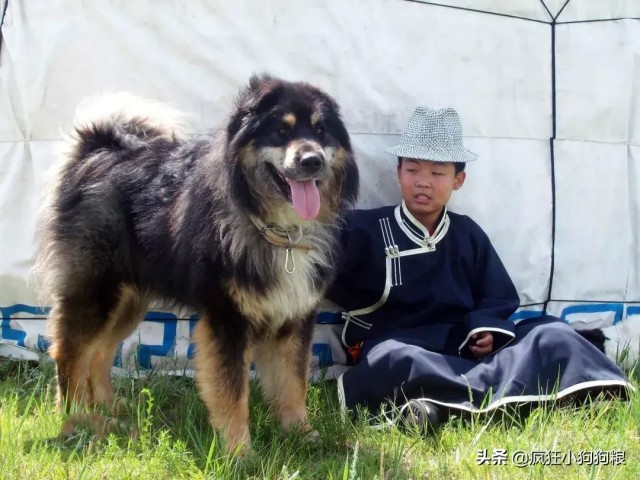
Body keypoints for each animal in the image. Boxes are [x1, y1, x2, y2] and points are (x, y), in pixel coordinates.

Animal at [33, 73, 360, 452]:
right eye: (281, 130)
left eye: (321, 132)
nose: (312, 160)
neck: (277, 229)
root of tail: (93, 149)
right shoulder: (227, 317)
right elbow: (232, 392)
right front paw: (238, 451)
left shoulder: (294, 315)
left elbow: (292, 382)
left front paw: (303, 435)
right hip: (96, 290)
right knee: (70, 354)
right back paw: (77, 419)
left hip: (128, 300)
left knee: (100, 352)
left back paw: (108, 409)